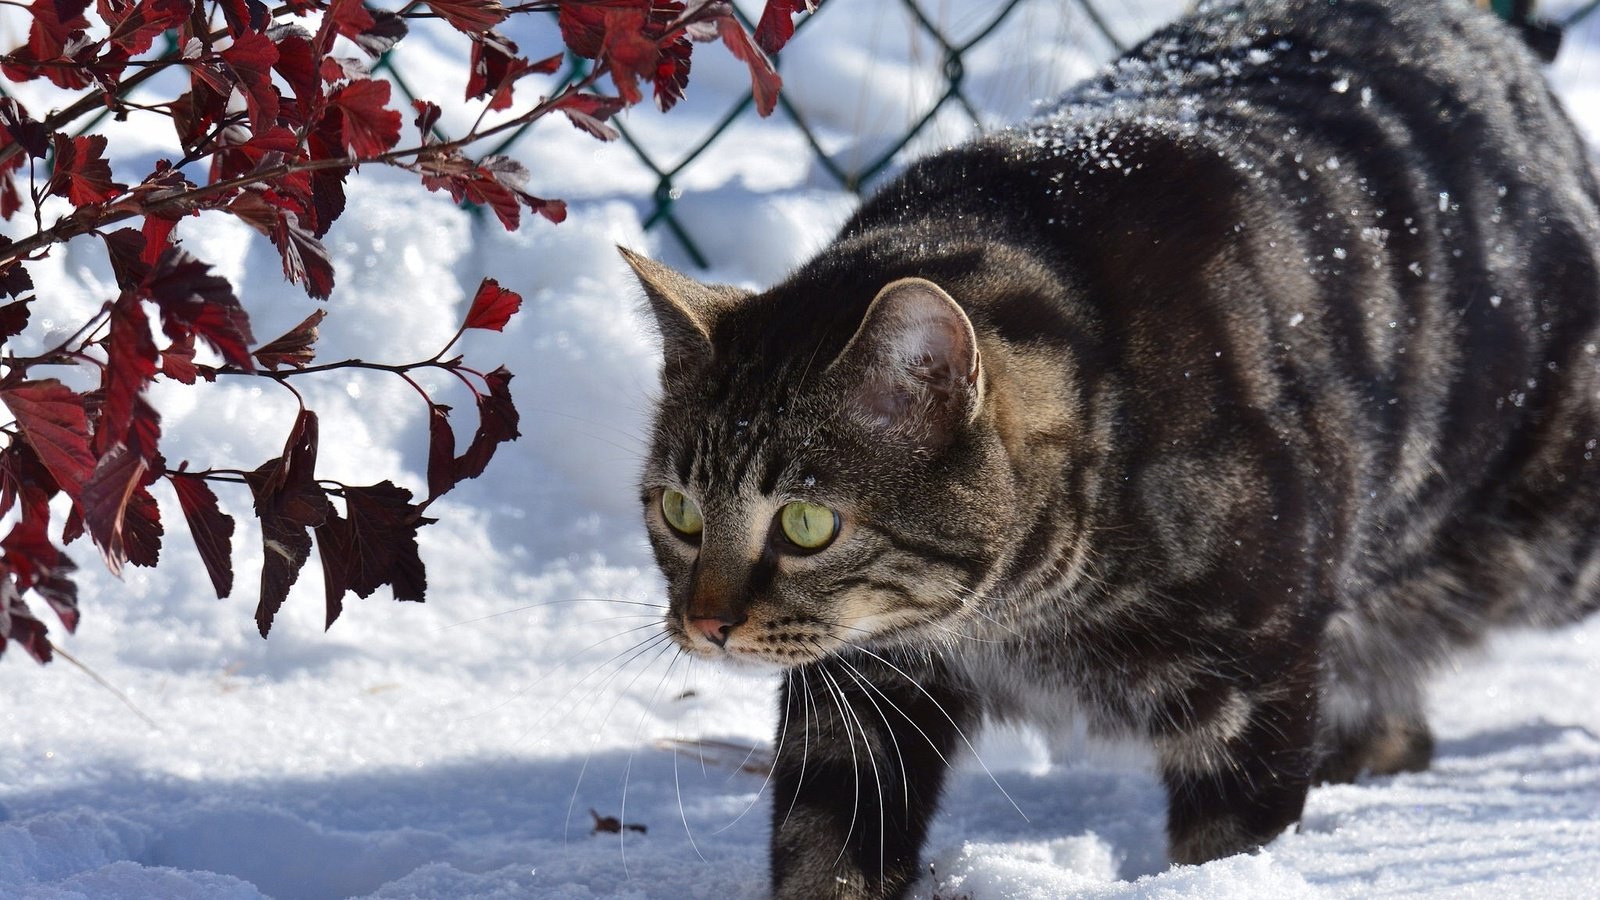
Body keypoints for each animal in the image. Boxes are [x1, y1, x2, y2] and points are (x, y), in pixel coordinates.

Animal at [620, 1, 1600, 896]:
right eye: (679, 511)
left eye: (808, 524)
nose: (705, 624)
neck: (1012, 615)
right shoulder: (860, 694)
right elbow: (823, 847)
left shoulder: (1255, 682)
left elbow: (1226, 850)